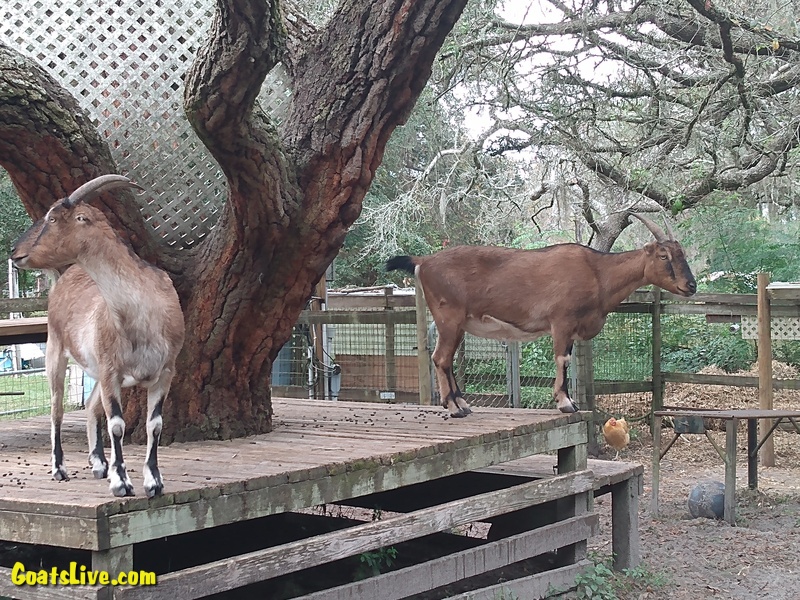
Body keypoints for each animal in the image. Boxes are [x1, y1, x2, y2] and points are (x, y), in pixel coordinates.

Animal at [11, 175, 185, 497]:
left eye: (52, 218)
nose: (15, 253)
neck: (142, 311)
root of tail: (65, 276)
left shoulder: (165, 372)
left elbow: (155, 424)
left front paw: (154, 482)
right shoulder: (110, 369)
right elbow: (116, 424)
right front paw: (122, 483)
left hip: (97, 369)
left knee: (91, 407)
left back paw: (99, 463)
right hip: (57, 351)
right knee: (57, 410)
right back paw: (60, 469)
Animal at [386, 214, 696, 417]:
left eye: (683, 254)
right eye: (664, 256)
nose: (691, 285)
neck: (597, 272)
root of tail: (423, 261)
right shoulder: (562, 321)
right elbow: (562, 359)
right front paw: (565, 403)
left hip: (457, 323)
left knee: (447, 359)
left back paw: (462, 403)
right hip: (448, 316)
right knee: (441, 358)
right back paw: (453, 407)